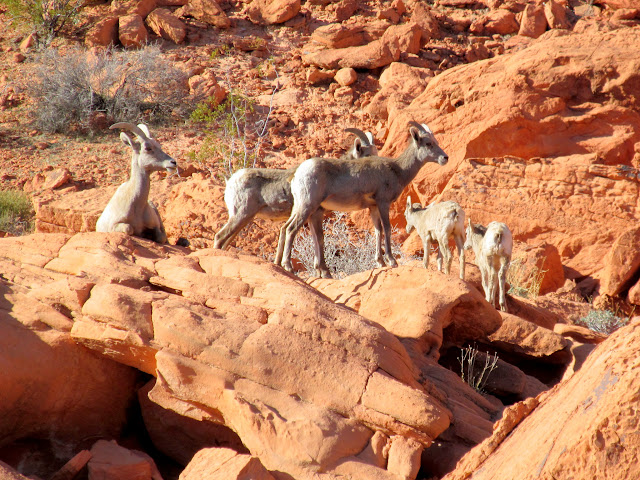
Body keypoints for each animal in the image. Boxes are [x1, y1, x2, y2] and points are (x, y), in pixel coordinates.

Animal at [276, 122, 450, 280]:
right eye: (428, 143)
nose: (445, 158)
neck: (398, 170)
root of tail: (297, 175)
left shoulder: (373, 207)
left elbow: (378, 231)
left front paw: (380, 262)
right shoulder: (383, 203)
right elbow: (387, 229)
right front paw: (392, 261)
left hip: (303, 208)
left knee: (287, 229)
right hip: (307, 206)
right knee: (291, 229)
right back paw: (289, 267)